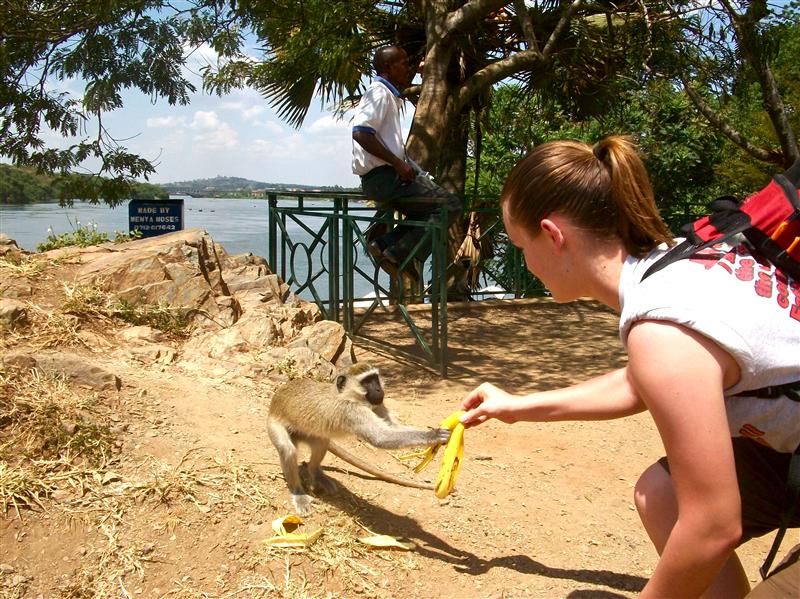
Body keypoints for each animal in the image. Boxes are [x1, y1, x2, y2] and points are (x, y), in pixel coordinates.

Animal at [267, 362, 450, 516]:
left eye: (375, 379)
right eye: (366, 382)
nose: (379, 390)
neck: (348, 396)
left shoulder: (378, 404)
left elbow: (392, 426)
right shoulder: (352, 412)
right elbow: (381, 437)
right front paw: (433, 435)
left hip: (310, 433)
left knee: (322, 443)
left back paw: (315, 473)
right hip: (274, 425)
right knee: (287, 449)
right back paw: (298, 492)